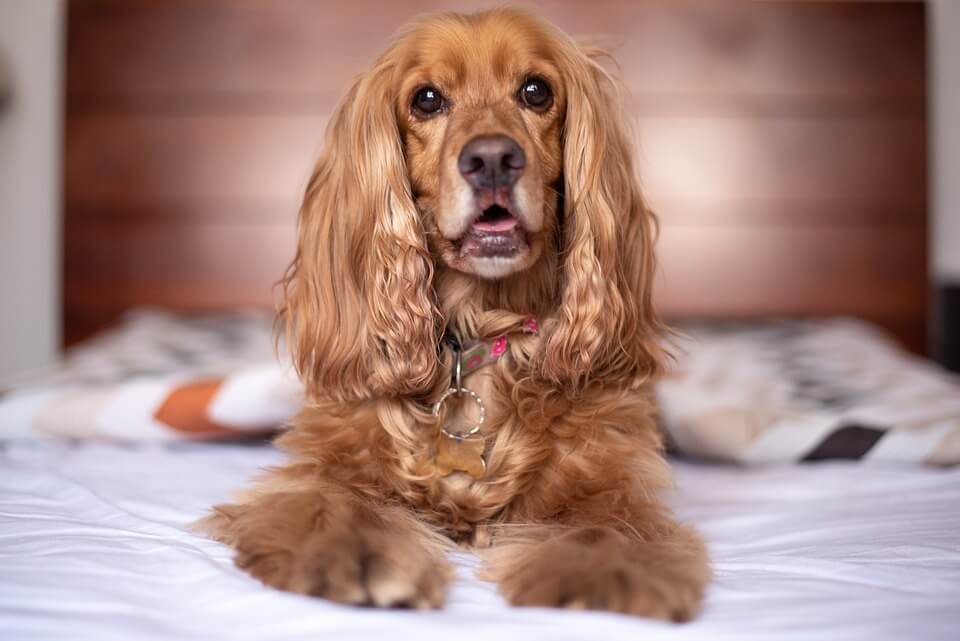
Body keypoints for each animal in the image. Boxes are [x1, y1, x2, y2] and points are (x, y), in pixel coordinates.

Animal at [197, 6, 704, 620]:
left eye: (536, 91)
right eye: (427, 99)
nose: (492, 159)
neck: (480, 330)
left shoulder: (610, 476)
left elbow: (607, 528)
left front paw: (599, 576)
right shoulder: (327, 461)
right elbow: (332, 503)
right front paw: (354, 554)